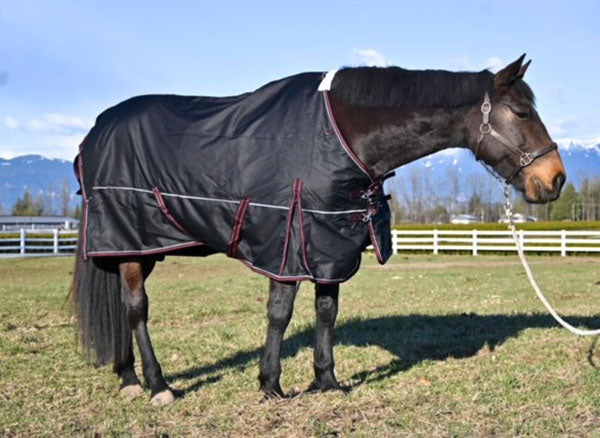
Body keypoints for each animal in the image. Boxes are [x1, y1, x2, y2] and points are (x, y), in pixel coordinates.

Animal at [71, 55, 568, 408]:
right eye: (522, 113)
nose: (556, 179)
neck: (344, 135)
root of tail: (94, 133)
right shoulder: (286, 244)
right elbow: (280, 313)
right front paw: (271, 385)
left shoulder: (330, 244)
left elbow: (326, 312)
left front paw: (326, 380)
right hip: (131, 242)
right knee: (136, 310)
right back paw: (158, 386)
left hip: (141, 247)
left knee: (122, 308)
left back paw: (128, 379)